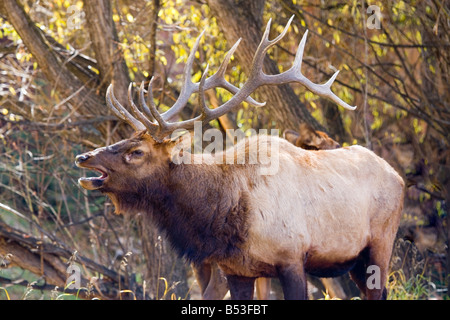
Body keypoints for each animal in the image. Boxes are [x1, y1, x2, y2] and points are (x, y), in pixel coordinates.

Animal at [74, 16, 404, 298]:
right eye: (123, 140)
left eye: (137, 152)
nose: (83, 157)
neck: (220, 217)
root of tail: (398, 175)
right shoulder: (237, 270)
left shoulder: (292, 257)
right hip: (355, 261)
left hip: (381, 242)